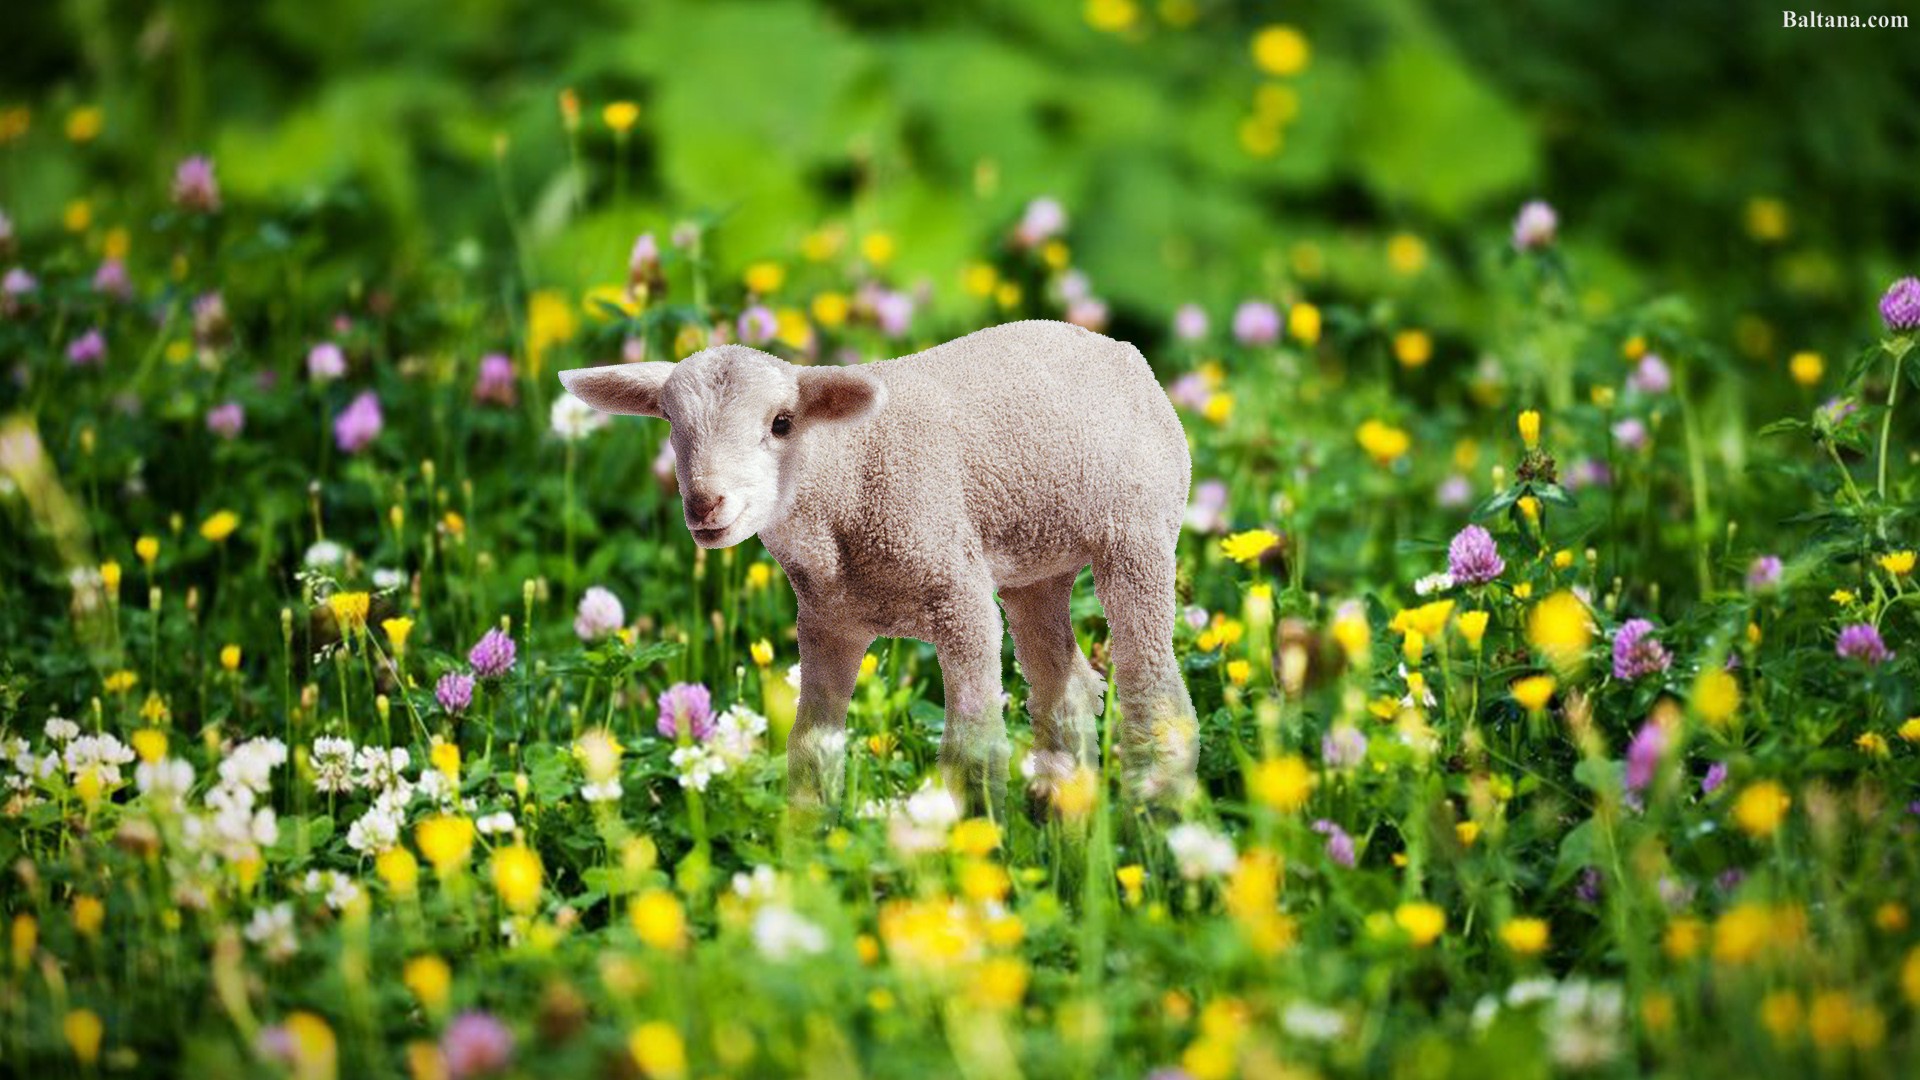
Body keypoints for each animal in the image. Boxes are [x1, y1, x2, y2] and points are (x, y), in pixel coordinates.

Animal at [558, 319, 1198, 821]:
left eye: (782, 423)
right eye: (669, 421)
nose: (704, 505)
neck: (843, 475)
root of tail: (1120, 348)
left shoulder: (958, 595)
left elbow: (974, 749)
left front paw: (977, 845)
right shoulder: (828, 622)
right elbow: (811, 749)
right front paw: (807, 849)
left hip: (1138, 525)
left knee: (1151, 686)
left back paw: (1157, 815)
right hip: (1037, 560)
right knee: (1063, 692)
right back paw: (1065, 818)